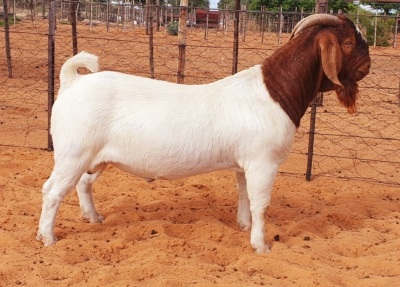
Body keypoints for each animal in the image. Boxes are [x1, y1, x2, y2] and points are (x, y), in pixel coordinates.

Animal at [38, 14, 372, 253]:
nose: (368, 66)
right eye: (347, 42)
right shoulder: (263, 162)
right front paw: (261, 245)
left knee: (83, 184)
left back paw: (93, 218)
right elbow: (261, 203)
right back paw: (47, 238)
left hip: (96, 158)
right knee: (52, 191)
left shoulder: (244, 164)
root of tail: (73, 82)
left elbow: (244, 195)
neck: (274, 92)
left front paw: (243, 226)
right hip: (73, 153)